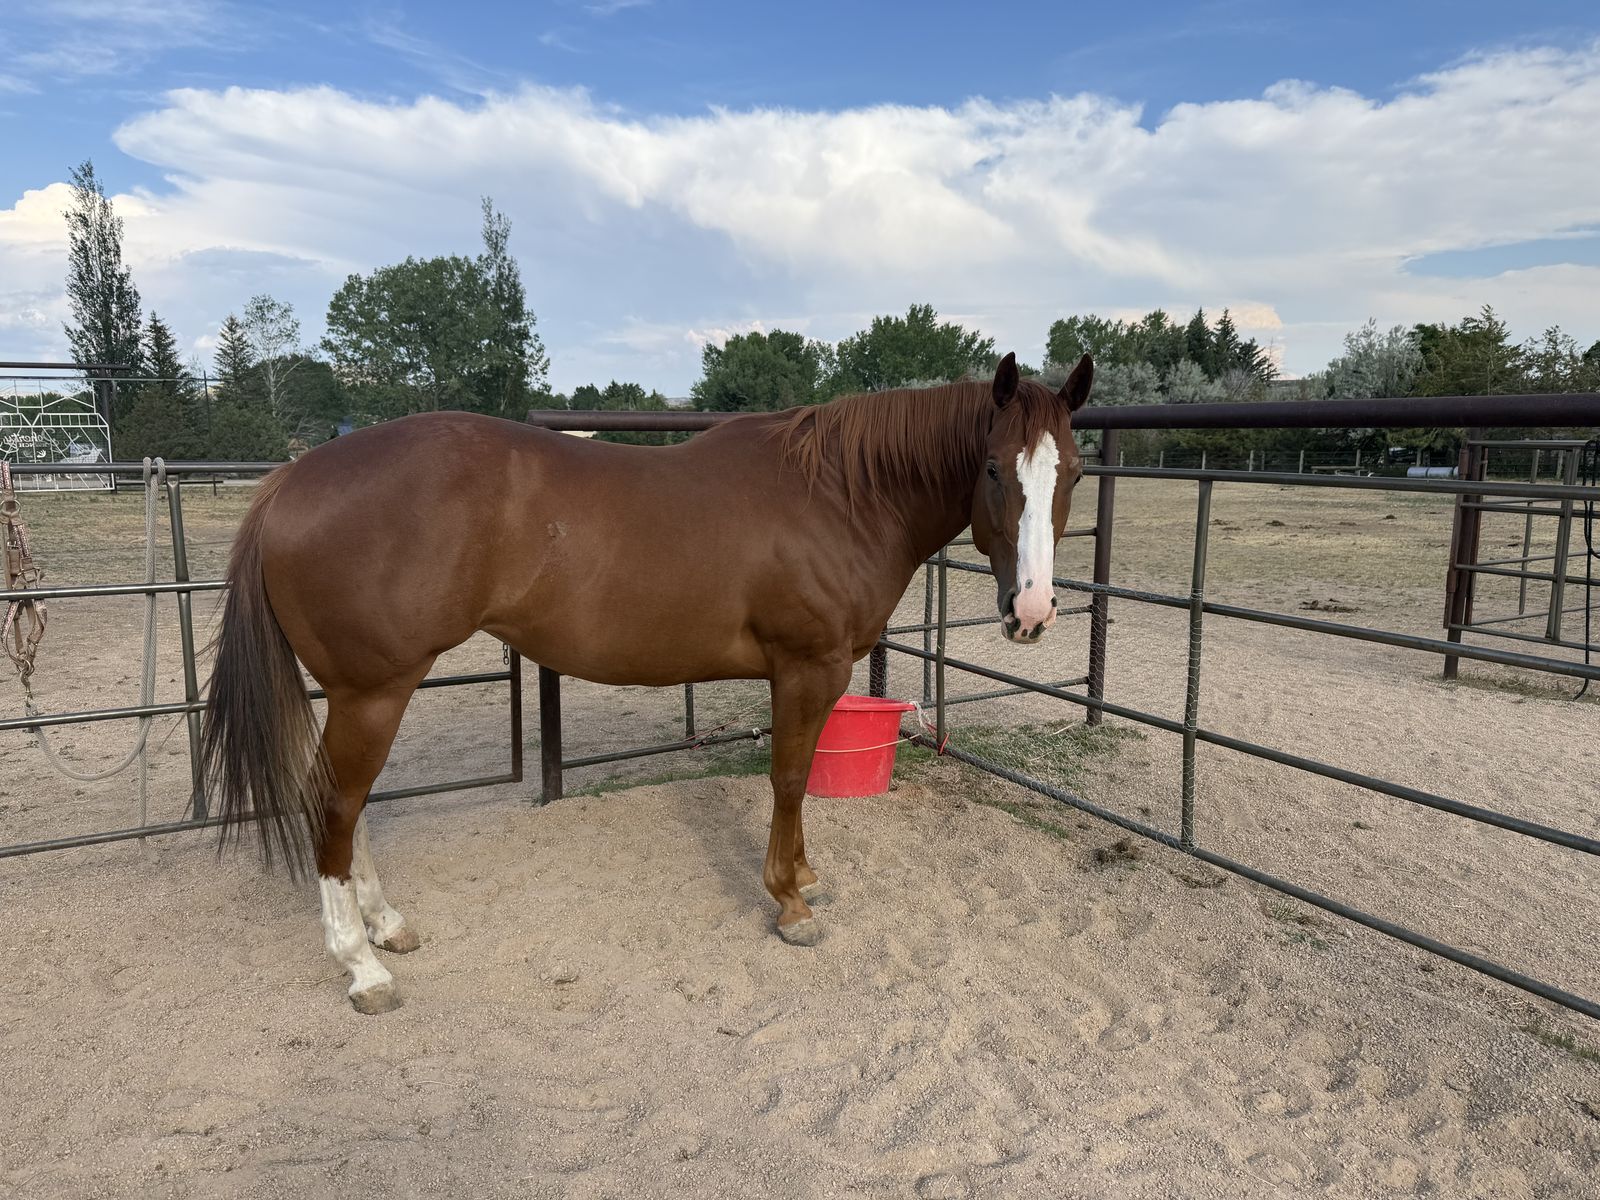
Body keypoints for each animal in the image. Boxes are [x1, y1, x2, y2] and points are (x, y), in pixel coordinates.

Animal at [201, 351, 1094, 1013]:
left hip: (368, 695)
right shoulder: (806, 666)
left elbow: (797, 777)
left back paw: (386, 926)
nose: (1032, 610)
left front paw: (806, 877)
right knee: (336, 805)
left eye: (1076, 473)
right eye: (992, 469)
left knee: (349, 806)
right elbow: (788, 777)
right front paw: (790, 902)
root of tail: (290, 480)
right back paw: (363, 967)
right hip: (374, 691)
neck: (842, 494)